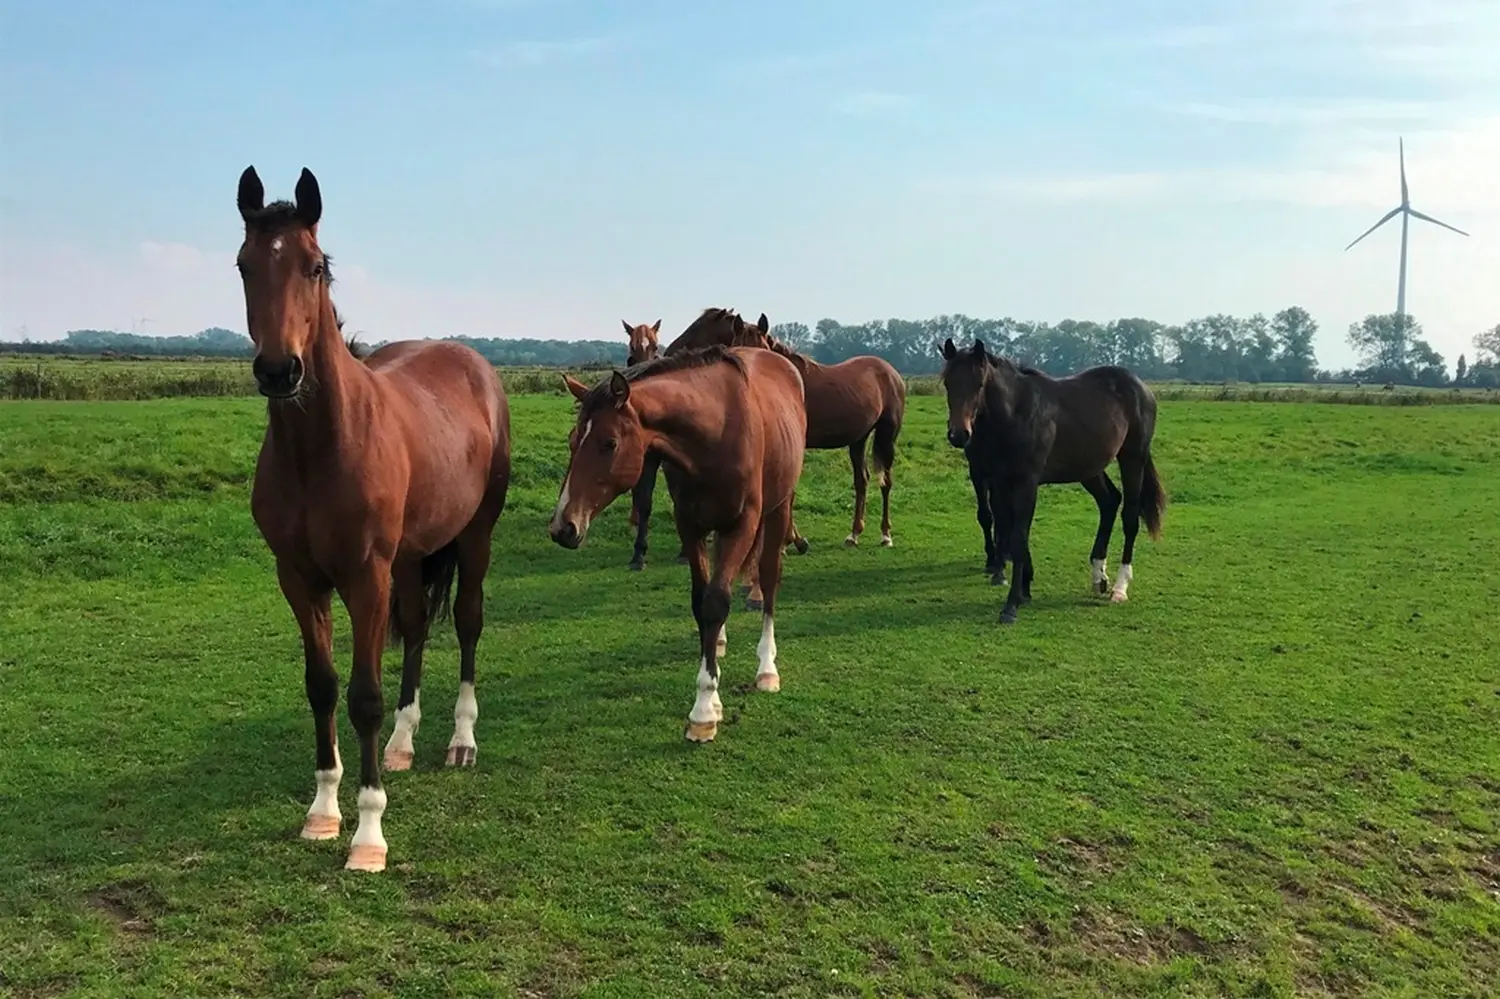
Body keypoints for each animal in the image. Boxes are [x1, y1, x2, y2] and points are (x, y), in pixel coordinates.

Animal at [236, 166, 511, 873]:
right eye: (245, 264)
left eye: (313, 266)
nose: (279, 370)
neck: (321, 448)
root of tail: (474, 364)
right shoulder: (299, 579)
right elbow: (323, 686)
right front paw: (323, 810)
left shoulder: (364, 578)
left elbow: (363, 696)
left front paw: (367, 832)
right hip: (410, 559)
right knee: (413, 630)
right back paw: (404, 743)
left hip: (474, 537)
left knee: (466, 622)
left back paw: (461, 741)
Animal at [548, 345, 806, 742]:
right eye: (572, 440)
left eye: (609, 443)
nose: (563, 526)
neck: (715, 433)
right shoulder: (691, 526)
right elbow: (703, 603)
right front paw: (711, 691)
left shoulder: (742, 525)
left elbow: (716, 603)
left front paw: (703, 713)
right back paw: (720, 643)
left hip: (779, 508)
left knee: (768, 577)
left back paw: (766, 668)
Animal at [939, 337, 1165, 625]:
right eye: (948, 383)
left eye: (979, 384)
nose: (959, 434)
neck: (1016, 413)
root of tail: (1141, 387)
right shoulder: (1000, 482)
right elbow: (1007, 527)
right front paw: (1023, 588)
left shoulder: (1026, 483)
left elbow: (1018, 536)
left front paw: (1011, 605)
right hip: (1089, 468)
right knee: (1109, 502)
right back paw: (1098, 576)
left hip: (1132, 459)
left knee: (1130, 517)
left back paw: (1119, 587)